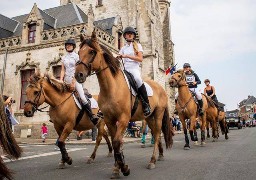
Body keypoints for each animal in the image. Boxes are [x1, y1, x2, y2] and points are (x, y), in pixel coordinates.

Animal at [75, 31, 173, 179]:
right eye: (79, 52)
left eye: (92, 51)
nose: (78, 75)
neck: (111, 87)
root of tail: (160, 87)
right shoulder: (109, 120)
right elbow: (116, 143)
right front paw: (117, 168)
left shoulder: (123, 119)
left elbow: (116, 142)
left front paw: (124, 168)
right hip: (149, 117)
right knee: (155, 132)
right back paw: (160, 155)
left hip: (158, 114)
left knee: (157, 134)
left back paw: (152, 160)